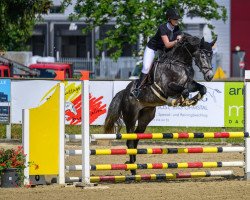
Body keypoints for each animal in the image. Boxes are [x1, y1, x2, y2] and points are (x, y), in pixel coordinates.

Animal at [103, 33, 217, 174]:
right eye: (202, 55)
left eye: (211, 55)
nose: (210, 76)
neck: (179, 63)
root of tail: (124, 92)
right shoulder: (167, 87)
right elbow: (183, 91)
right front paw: (179, 100)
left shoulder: (190, 84)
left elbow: (202, 88)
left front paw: (193, 100)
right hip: (130, 117)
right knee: (130, 141)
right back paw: (132, 170)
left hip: (145, 117)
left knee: (136, 138)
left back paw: (133, 164)